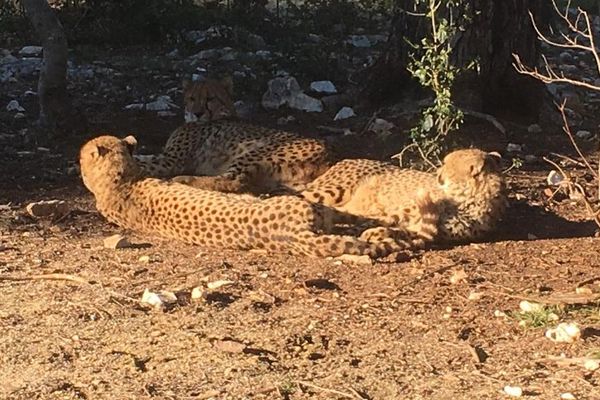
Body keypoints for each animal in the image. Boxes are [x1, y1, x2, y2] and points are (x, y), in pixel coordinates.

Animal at [135, 77, 332, 195]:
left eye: (210, 98)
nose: (197, 113)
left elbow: (143, 163)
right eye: (191, 98)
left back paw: (183, 179)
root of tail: (331, 154)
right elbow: (140, 156)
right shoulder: (165, 155)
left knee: (234, 181)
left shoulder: (172, 160)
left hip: (256, 152)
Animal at [302, 149, 508, 244]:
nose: (437, 173)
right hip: (332, 190)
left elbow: (401, 231)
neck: (462, 201)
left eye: (447, 165)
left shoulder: (430, 229)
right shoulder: (399, 211)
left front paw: (374, 233)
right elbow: (374, 221)